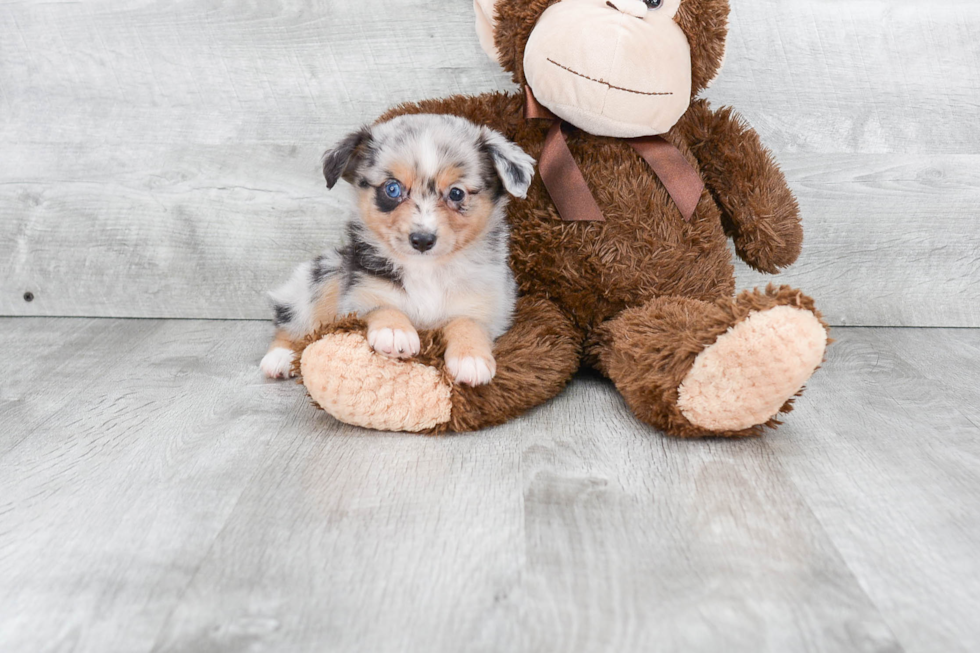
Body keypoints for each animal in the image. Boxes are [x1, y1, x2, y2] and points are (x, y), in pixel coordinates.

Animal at [260, 114, 536, 384]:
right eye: (392, 189)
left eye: (457, 193)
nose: (422, 240)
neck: (427, 270)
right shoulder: (361, 292)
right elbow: (383, 306)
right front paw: (394, 332)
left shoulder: (485, 304)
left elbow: (468, 322)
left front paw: (471, 358)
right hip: (325, 272)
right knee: (293, 319)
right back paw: (280, 357)